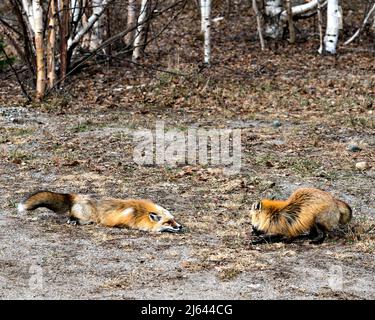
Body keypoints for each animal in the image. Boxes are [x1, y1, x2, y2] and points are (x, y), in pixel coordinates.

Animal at [18, 190, 184, 232]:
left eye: (174, 219)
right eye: (168, 222)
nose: (180, 226)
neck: (140, 213)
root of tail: (77, 196)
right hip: (87, 218)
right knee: (72, 216)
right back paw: (72, 221)